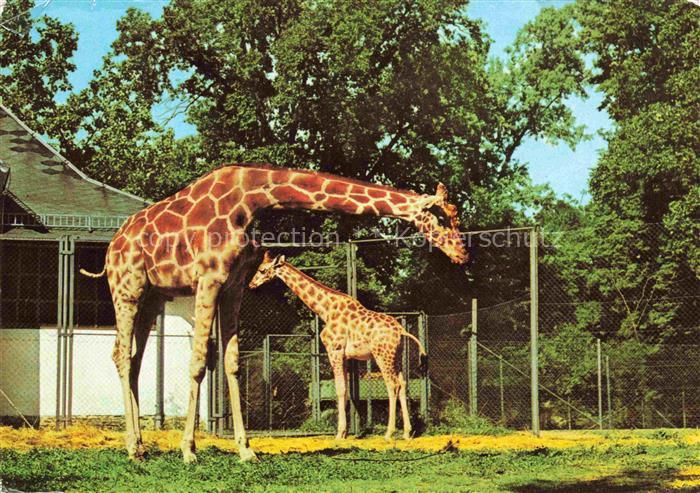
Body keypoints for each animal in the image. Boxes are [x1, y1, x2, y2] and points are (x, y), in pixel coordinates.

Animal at [249, 252, 426, 440]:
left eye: (262, 270)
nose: (251, 284)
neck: (326, 310)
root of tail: (400, 330)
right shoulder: (346, 356)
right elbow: (346, 390)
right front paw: (345, 432)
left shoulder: (334, 350)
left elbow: (339, 389)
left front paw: (340, 433)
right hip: (396, 356)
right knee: (403, 384)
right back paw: (407, 432)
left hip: (382, 355)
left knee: (392, 385)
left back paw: (389, 433)